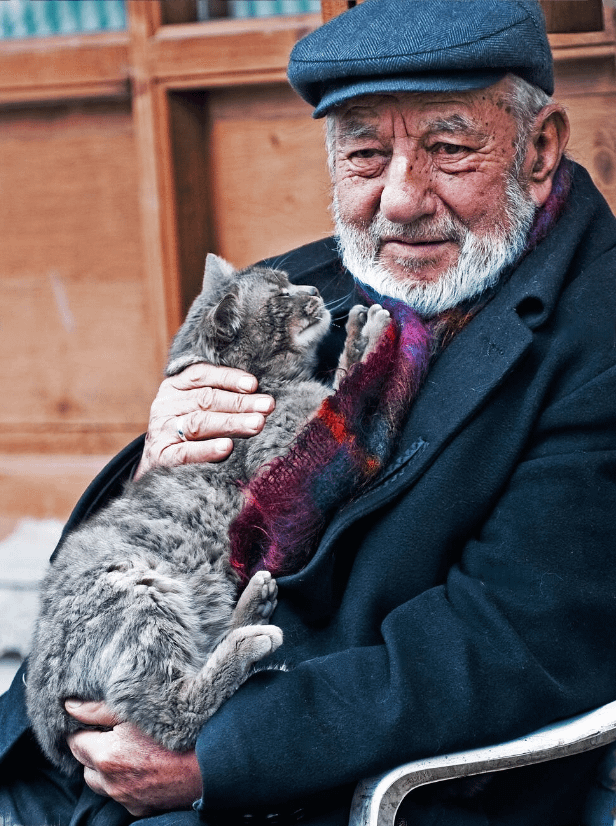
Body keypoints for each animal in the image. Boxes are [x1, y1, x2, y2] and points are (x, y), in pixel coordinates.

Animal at [26, 251, 390, 772]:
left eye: (290, 280)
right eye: (281, 296)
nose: (315, 292)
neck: (272, 382)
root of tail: (44, 716)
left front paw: (361, 333)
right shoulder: (295, 452)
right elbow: (342, 394)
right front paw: (369, 337)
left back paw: (251, 608)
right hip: (137, 595)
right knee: (171, 713)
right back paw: (246, 643)